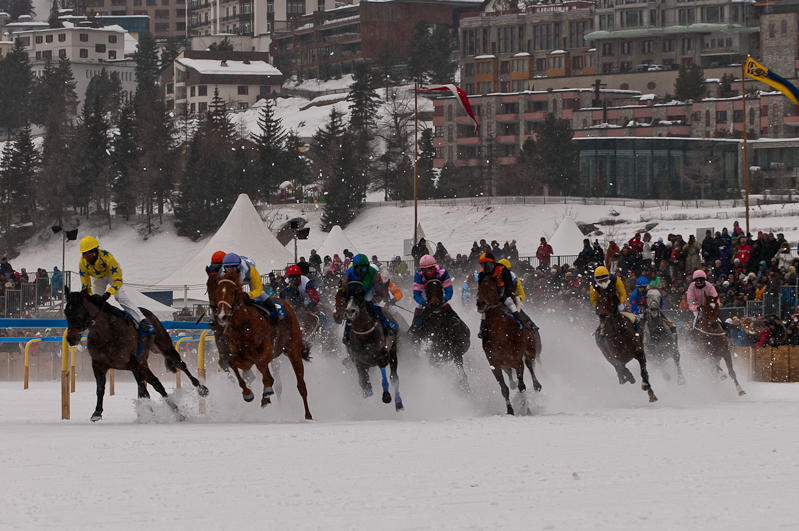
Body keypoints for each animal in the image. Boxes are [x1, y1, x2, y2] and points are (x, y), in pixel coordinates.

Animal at [65, 288, 208, 422]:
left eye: (79, 311)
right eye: (66, 312)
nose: (71, 338)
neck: (106, 333)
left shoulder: (133, 363)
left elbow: (143, 391)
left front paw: (152, 415)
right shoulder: (98, 365)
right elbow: (100, 389)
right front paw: (97, 412)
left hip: (164, 347)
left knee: (181, 365)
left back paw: (201, 389)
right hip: (143, 363)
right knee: (158, 384)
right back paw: (178, 413)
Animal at [214, 270, 314, 420]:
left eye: (232, 292)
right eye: (217, 292)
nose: (221, 316)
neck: (244, 325)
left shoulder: (265, 352)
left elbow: (263, 369)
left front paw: (267, 389)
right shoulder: (246, 359)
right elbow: (232, 363)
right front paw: (248, 393)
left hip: (293, 349)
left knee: (301, 384)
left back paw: (308, 416)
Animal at [336, 282, 404, 412]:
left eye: (361, 294)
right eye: (344, 294)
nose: (350, 311)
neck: (363, 332)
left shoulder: (383, 353)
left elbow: (383, 363)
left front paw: (386, 395)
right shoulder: (358, 360)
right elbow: (363, 382)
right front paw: (366, 398)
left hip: (393, 349)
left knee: (394, 378)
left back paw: (398, 403)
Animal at [476, 276, 544, 418]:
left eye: (492, 289)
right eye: (479, 288)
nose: (481, 304)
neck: (500, 333)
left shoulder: (517, 361)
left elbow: (522, 386)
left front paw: (526, 409)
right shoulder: (494, 363)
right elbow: (504, 388)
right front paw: (510, 410)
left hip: (530, 349)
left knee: (530, 365)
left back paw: (537, 385)